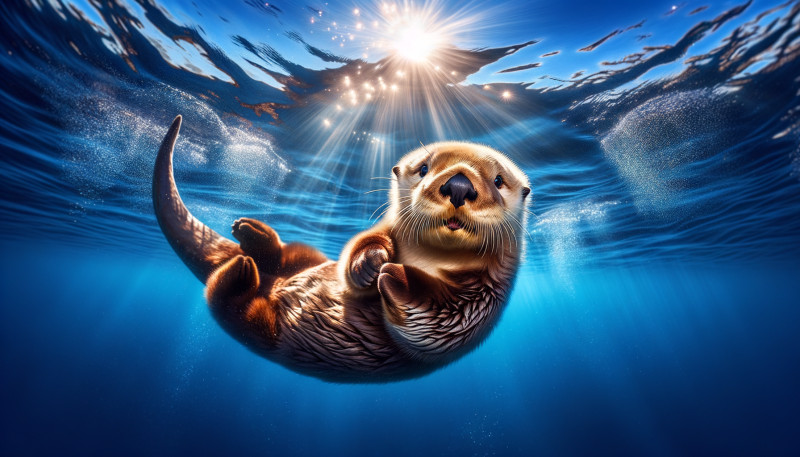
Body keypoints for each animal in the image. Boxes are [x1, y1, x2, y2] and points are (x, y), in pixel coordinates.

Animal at [153, 115, 530, 382]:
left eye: (498, 180)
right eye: (424, 168)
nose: (459, 185)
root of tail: (273, 284)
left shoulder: (484, 295)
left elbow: (441, 323)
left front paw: (395, 276)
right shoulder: (383, 229)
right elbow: (361, 247)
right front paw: (371, 262)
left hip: (262, 329)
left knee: (234, 307)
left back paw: (241, 269)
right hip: (306, 261)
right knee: (286, 258)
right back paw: (251, 236)